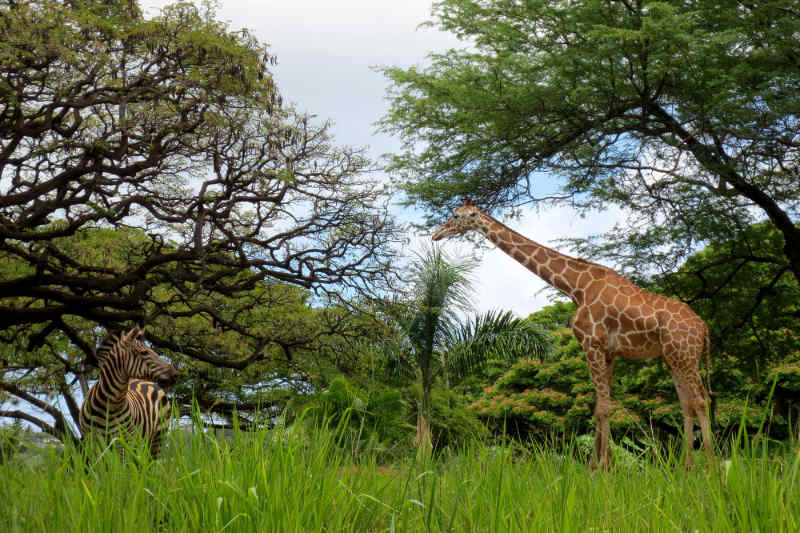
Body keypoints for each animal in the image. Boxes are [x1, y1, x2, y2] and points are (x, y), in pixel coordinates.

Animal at [80, 324, 180, 458]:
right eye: (144, 352)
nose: (176, 374)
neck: (108, 404)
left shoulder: (122, 442)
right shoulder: (92, 443)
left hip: (158, 438)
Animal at [434, 198, 716, 466]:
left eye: (456, 216)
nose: (437, 234)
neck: (577, 286)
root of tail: (703, 326)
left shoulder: (591, 343)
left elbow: (603, 407)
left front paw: (602, 467)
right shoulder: (608, 351)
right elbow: (600, 406)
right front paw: (596, 465)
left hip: (685, 354)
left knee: (701, 400)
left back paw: (710, 467)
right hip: (672, 357)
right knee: (686, 404)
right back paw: (686, 467)